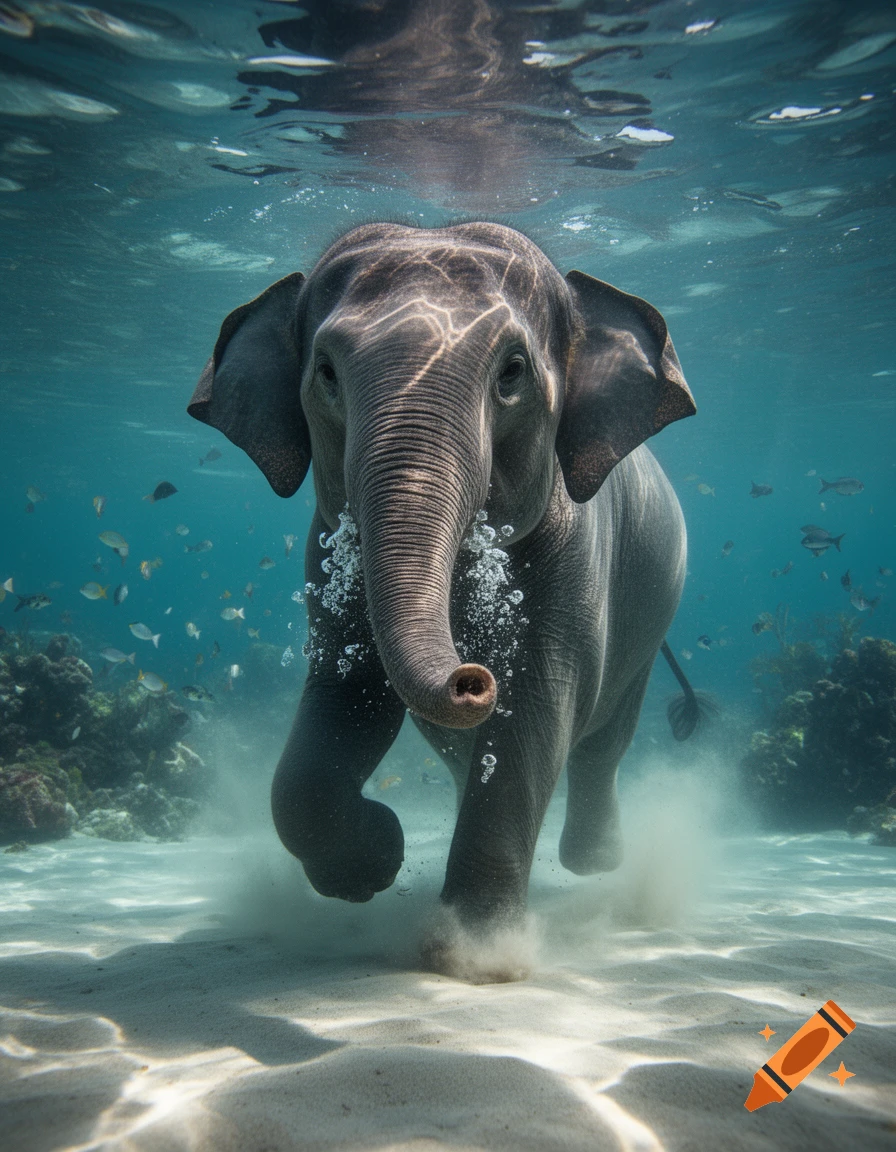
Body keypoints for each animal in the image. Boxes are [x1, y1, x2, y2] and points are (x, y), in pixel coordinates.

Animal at [188, 222, 707, 981]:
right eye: (327, 372)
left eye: (513, 371)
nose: (471, 678)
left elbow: (534, 715)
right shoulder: (326, 558)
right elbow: (345, 701)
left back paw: (593, 864)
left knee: (603, 739)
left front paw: (471, 953)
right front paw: (377, 860)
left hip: (651, 617)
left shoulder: (578, 556)